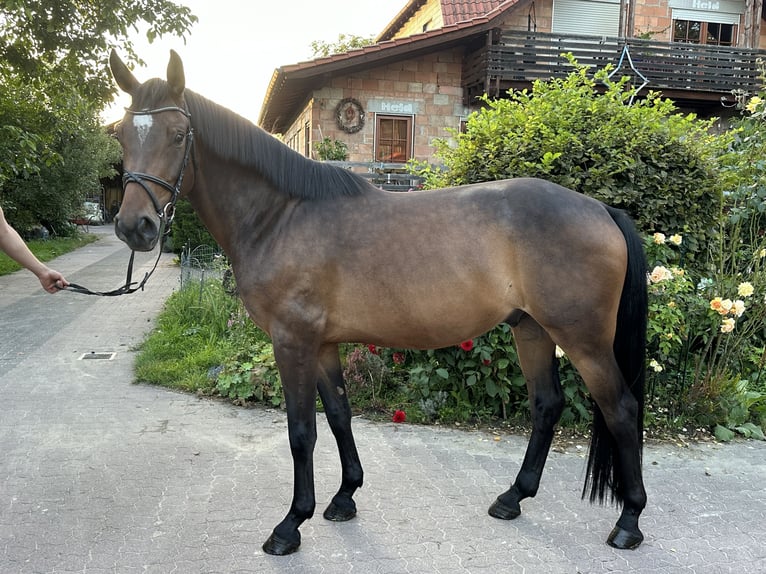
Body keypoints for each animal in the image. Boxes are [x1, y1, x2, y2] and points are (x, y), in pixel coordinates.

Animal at [108, 50, 648, 560]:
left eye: (179, 135)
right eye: (122, 136)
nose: (136, 227)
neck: (281, 216)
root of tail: (602, 209)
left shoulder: (293, 342)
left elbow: (301, 431)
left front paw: (290, 525)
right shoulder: (323, 344)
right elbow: (339, 416)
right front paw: (344, 497)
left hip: (582, 339)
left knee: (621, 409)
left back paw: (628, 522)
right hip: (531, 328)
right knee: (546, 405)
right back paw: (512, 498)